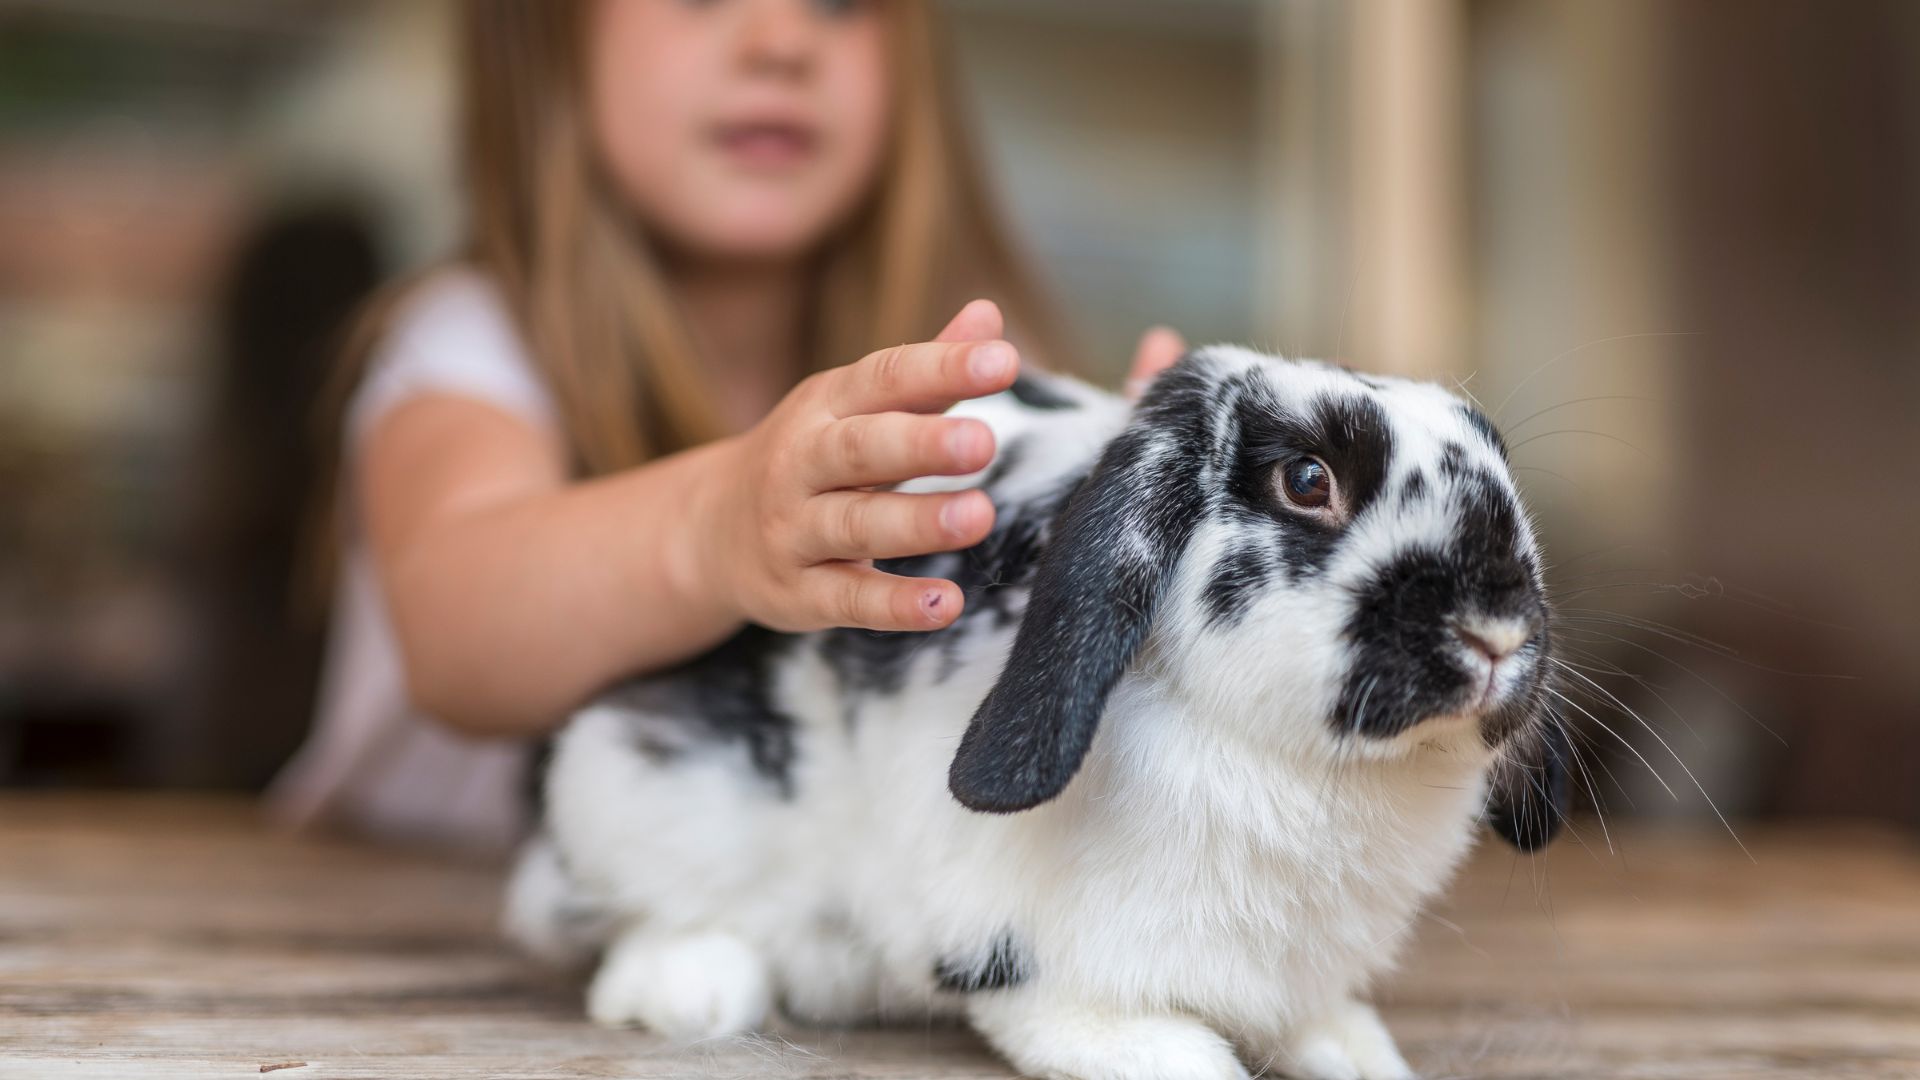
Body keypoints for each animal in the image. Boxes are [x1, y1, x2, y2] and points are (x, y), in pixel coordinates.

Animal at [503, 345, 1566, 1076]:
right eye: (1308, 481)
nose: (1496, 630)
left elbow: (1315, 1021)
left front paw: (1357, 1053)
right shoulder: (1026, 940)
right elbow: (1083, 1016)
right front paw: (1178, 1058)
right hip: (637, 783)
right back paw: (691, 989)